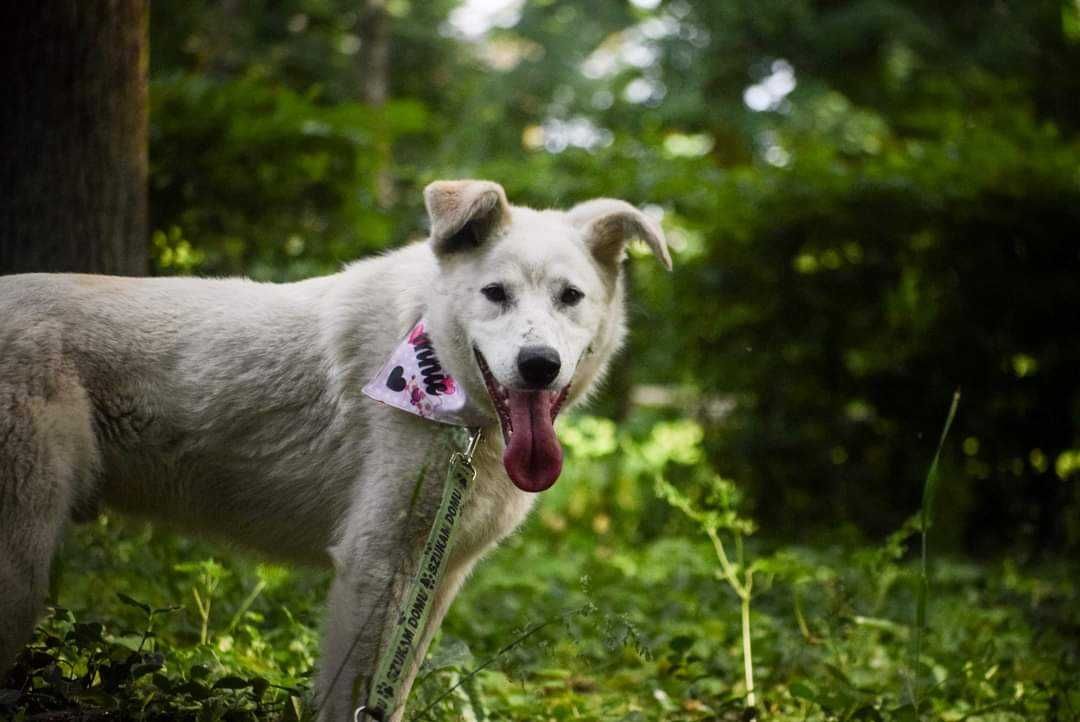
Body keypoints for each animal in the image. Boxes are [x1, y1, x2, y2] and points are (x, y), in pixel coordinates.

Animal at [0, 179, 669, 716]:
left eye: (570, 297)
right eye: (495, 293)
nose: (539, 366)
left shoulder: (435, 578)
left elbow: (392, 694)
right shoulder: (374, 566)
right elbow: (352, 698)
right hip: (21, 561)